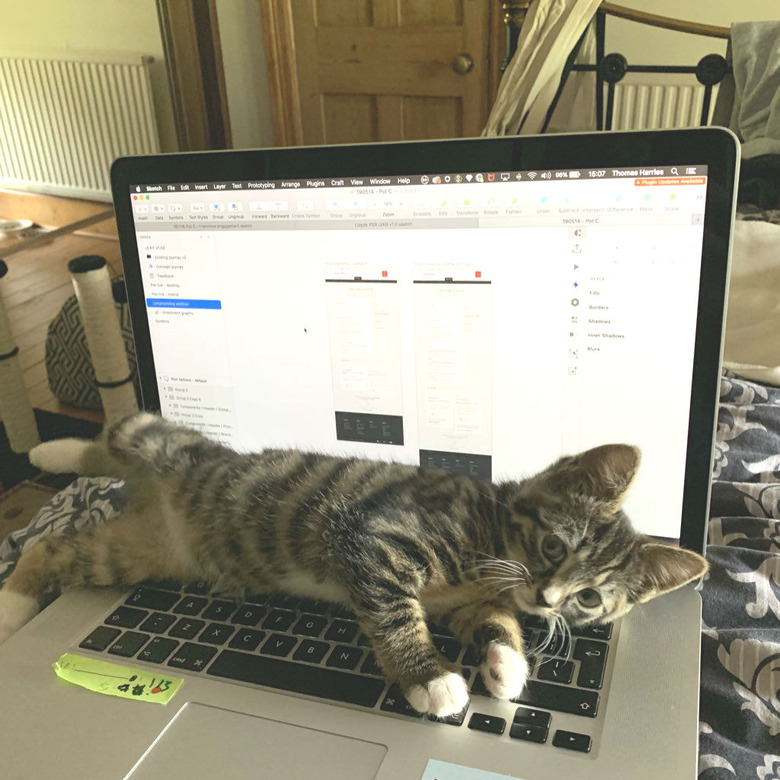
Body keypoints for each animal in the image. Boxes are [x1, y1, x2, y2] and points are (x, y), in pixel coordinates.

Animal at [0, 412, 708, 716]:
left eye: (590, 598)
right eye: (555, 548)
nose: (549, 599)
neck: (490, 544)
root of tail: (164, 491)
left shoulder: (471, 600)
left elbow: (492, 620)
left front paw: (506, 664)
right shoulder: (372, 538)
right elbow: (396, 611)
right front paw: (431, 678)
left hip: (136, 552)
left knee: (59, 546)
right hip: (167, 449)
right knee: (118, 433)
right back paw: (48, 460)